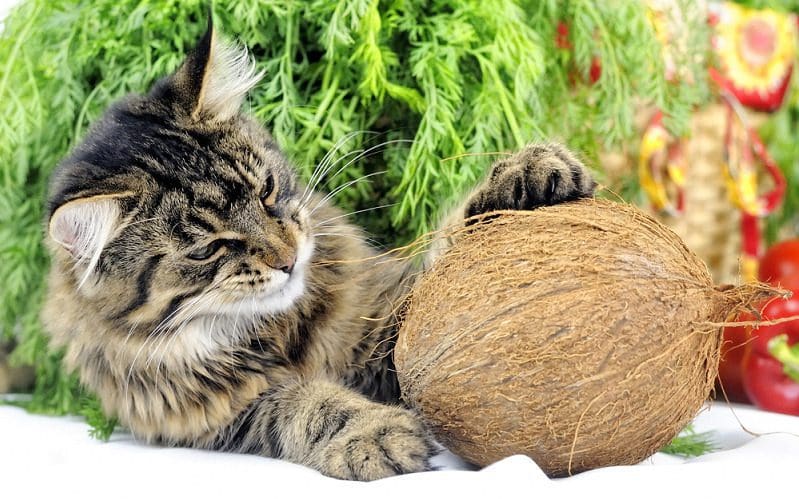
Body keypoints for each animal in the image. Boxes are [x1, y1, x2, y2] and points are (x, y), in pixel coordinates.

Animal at [42, 23, 592, 480]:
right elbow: (309, 403)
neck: (278, 330)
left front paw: (523, 173)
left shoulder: (387, 323)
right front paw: (374, 435)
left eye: (266, 190)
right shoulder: (224, 412)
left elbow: (444, 257)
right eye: (209, 249)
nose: (287, 259)